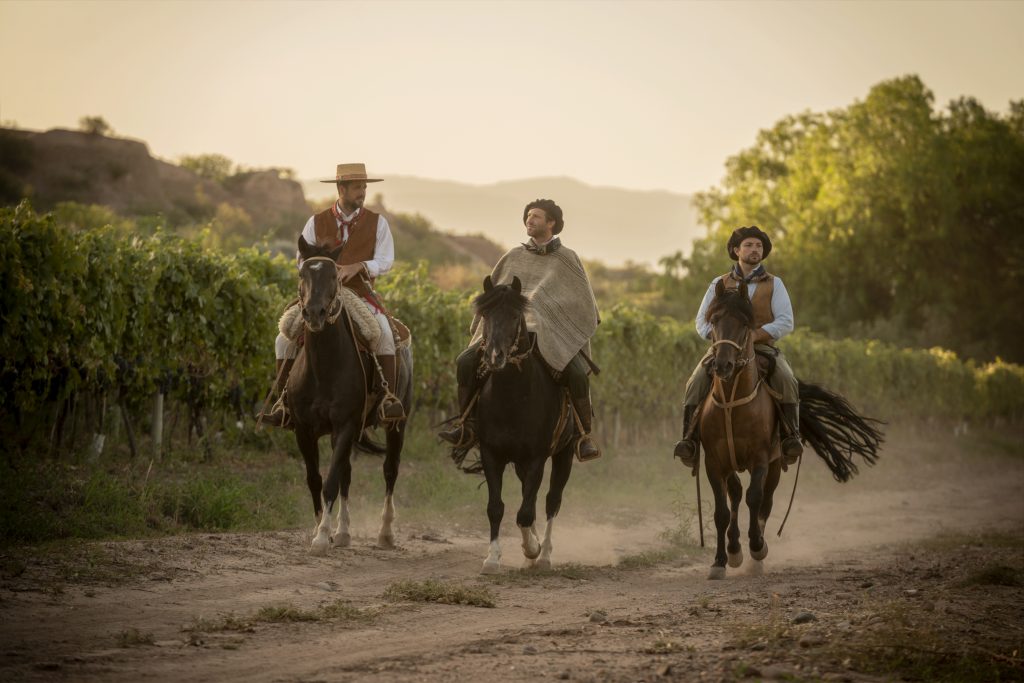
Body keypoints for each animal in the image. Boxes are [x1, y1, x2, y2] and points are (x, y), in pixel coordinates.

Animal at [288, 235, 411, 557]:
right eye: (302, 274)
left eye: (334, 276)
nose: (314, 314)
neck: (323, 367)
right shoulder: (304, 430)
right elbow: (316, 479)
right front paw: (322, 529)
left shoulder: (344, 426)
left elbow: (330, 481)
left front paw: (322, 537)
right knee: (347, 472)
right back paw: (343, 532)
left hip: (397, 425)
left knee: (390, 471)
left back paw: (385, 533)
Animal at [468, 274, 581, 573]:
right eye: (485, 314)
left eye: (515, 315)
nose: (494, 356)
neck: (512, 400)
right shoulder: (492, 455)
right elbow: (496, 507)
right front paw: (492, 558)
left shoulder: (536, 458)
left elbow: (526, 512)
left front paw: (533, 549)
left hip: (564, 454)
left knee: (552, 500)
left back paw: (544, 556)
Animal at [700, 280, 884, 581]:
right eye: (714, 321)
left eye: (744, 324)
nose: (723, 365)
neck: (732, 402)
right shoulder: (714, 463)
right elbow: (721, 511)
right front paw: (719, 561)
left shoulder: (761, 458)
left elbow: (755, 498)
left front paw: (757, 547)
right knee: (736, 494)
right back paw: (735, 550)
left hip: (775, 465)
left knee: (764, 501)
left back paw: (754, 555)